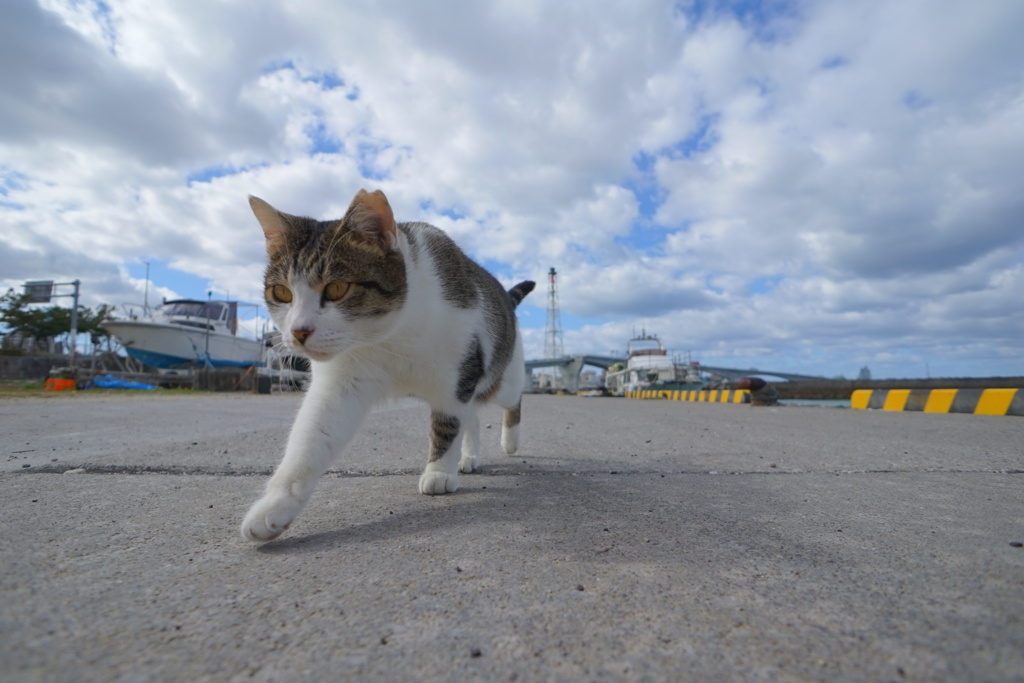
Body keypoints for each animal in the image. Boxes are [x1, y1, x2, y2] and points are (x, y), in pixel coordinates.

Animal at [240, 189, 536, 540]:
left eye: (337, 288)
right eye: (282, 293)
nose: (298, 332)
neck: (390, 335)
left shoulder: (457, 375)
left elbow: (447, 425)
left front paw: (439, 471)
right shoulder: (342, 381)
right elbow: (309, 440)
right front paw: (274, 506)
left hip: (500, 377)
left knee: (511, 401)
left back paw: (510, 442)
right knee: (473, 417)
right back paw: (470, 456)